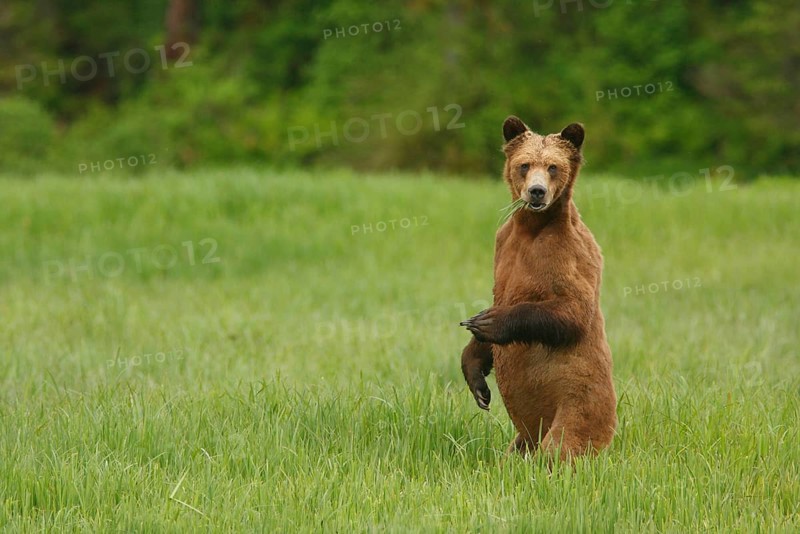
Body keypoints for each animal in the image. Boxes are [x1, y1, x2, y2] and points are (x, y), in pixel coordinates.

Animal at [459, 116, 617, 461]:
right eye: (525, 164)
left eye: (553, 166)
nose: (536, 191)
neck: (531, 229)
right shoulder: (503, 246)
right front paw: (477, 380)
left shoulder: (567, 254)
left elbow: (573, 310)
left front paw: (488, 322)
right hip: (524, 435)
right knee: (516, 449)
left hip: (578, 404)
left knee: (562, 445)